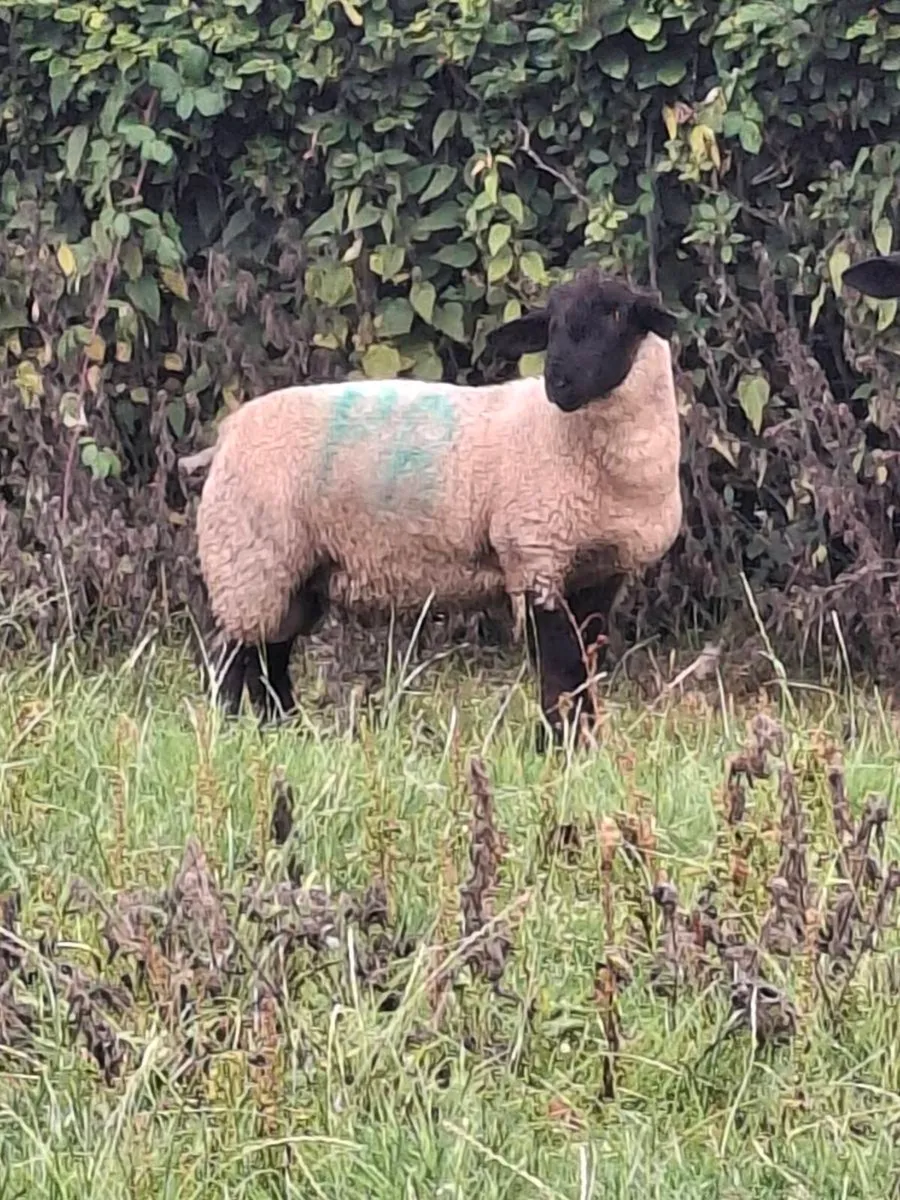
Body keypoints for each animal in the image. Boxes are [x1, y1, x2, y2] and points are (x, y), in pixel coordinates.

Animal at [186, 268, 681, 745]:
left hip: (294, 573)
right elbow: (559, 665)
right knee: (233, 655)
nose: (558, 383)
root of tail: (228, 432)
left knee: (268, 656)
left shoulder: (598, 570)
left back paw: (285, 732)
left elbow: (581, 664)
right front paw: (558, 746)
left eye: (616, 314)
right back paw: (228, 734)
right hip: (249, 560)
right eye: (552, 325)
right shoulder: (536, 557)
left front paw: (583, 742)